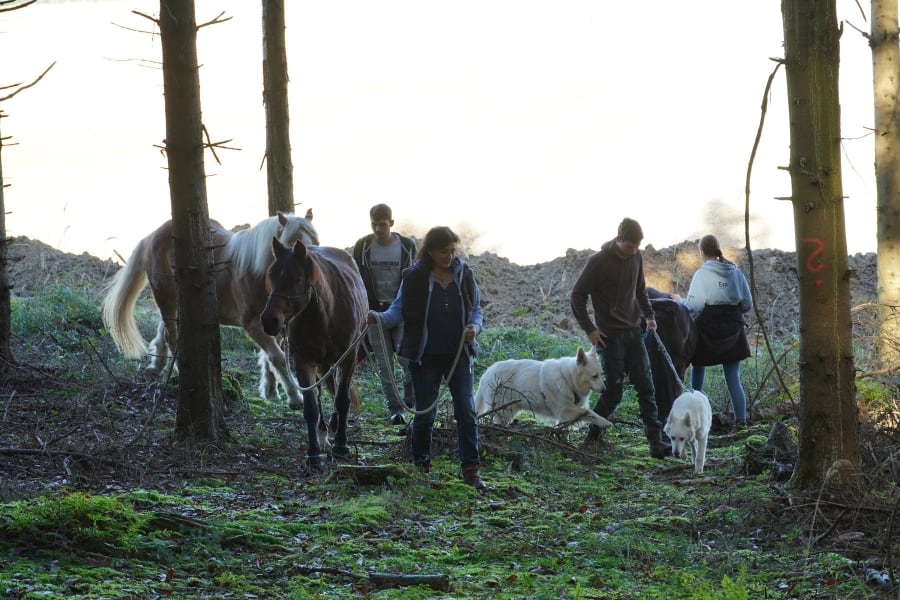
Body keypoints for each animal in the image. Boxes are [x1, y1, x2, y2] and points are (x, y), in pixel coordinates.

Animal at [100, 211, 318, 408]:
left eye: (315, 238)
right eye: (294, 241)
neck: (257, 272)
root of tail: (154, 234)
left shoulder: (275, 325)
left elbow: (269, 358)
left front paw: (270, 392)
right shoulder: (253, 324)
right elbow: (277, 358)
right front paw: (295, 398)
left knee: (164, 331)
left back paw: (155, 367)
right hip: (167, 298)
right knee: (172, 335)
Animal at [258, 236, 368, 468]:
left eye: (297, 278)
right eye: (271, 275)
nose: (269, 320)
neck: (325, 314)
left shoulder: (348, 358)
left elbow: (342, 400)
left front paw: (341, 445)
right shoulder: (303, 361)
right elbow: (310, 407)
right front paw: (313, 454)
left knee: (336, 391)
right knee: (319, 393)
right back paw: (323, 432)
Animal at [472, 346, 612, 432]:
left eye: (601, 374)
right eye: (594, 376)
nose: (605, 390)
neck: (567, 379)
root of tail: (487, 373)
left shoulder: (564, 415)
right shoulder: (565, 410)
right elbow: (589, 412)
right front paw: (604, 422)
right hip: (503, 412)